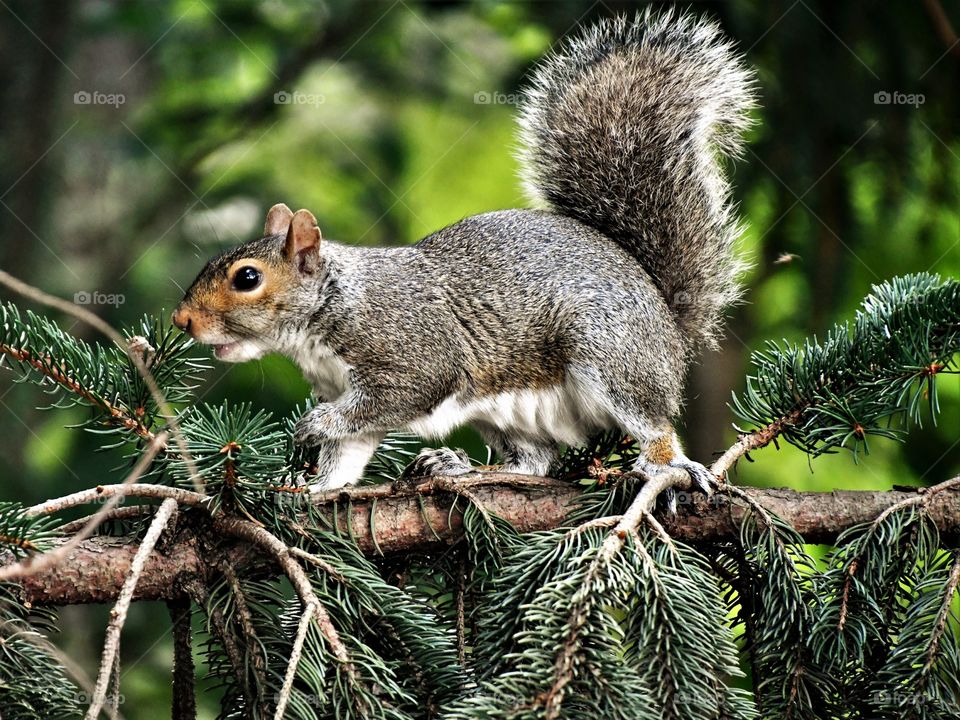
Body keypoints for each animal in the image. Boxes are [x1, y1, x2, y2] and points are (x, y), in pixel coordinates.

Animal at [172, 10, 756, 494]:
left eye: (247, 278)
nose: (181, 320)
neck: (334, 305)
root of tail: (669, 324)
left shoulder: (410, 358)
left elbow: (381, 404)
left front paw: (313, 428)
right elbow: (350, 452)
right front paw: (315, 491)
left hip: (611, 355)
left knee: (651, 422)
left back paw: (663, 464)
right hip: (506, 414)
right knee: (536, 460)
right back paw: (460, 468)